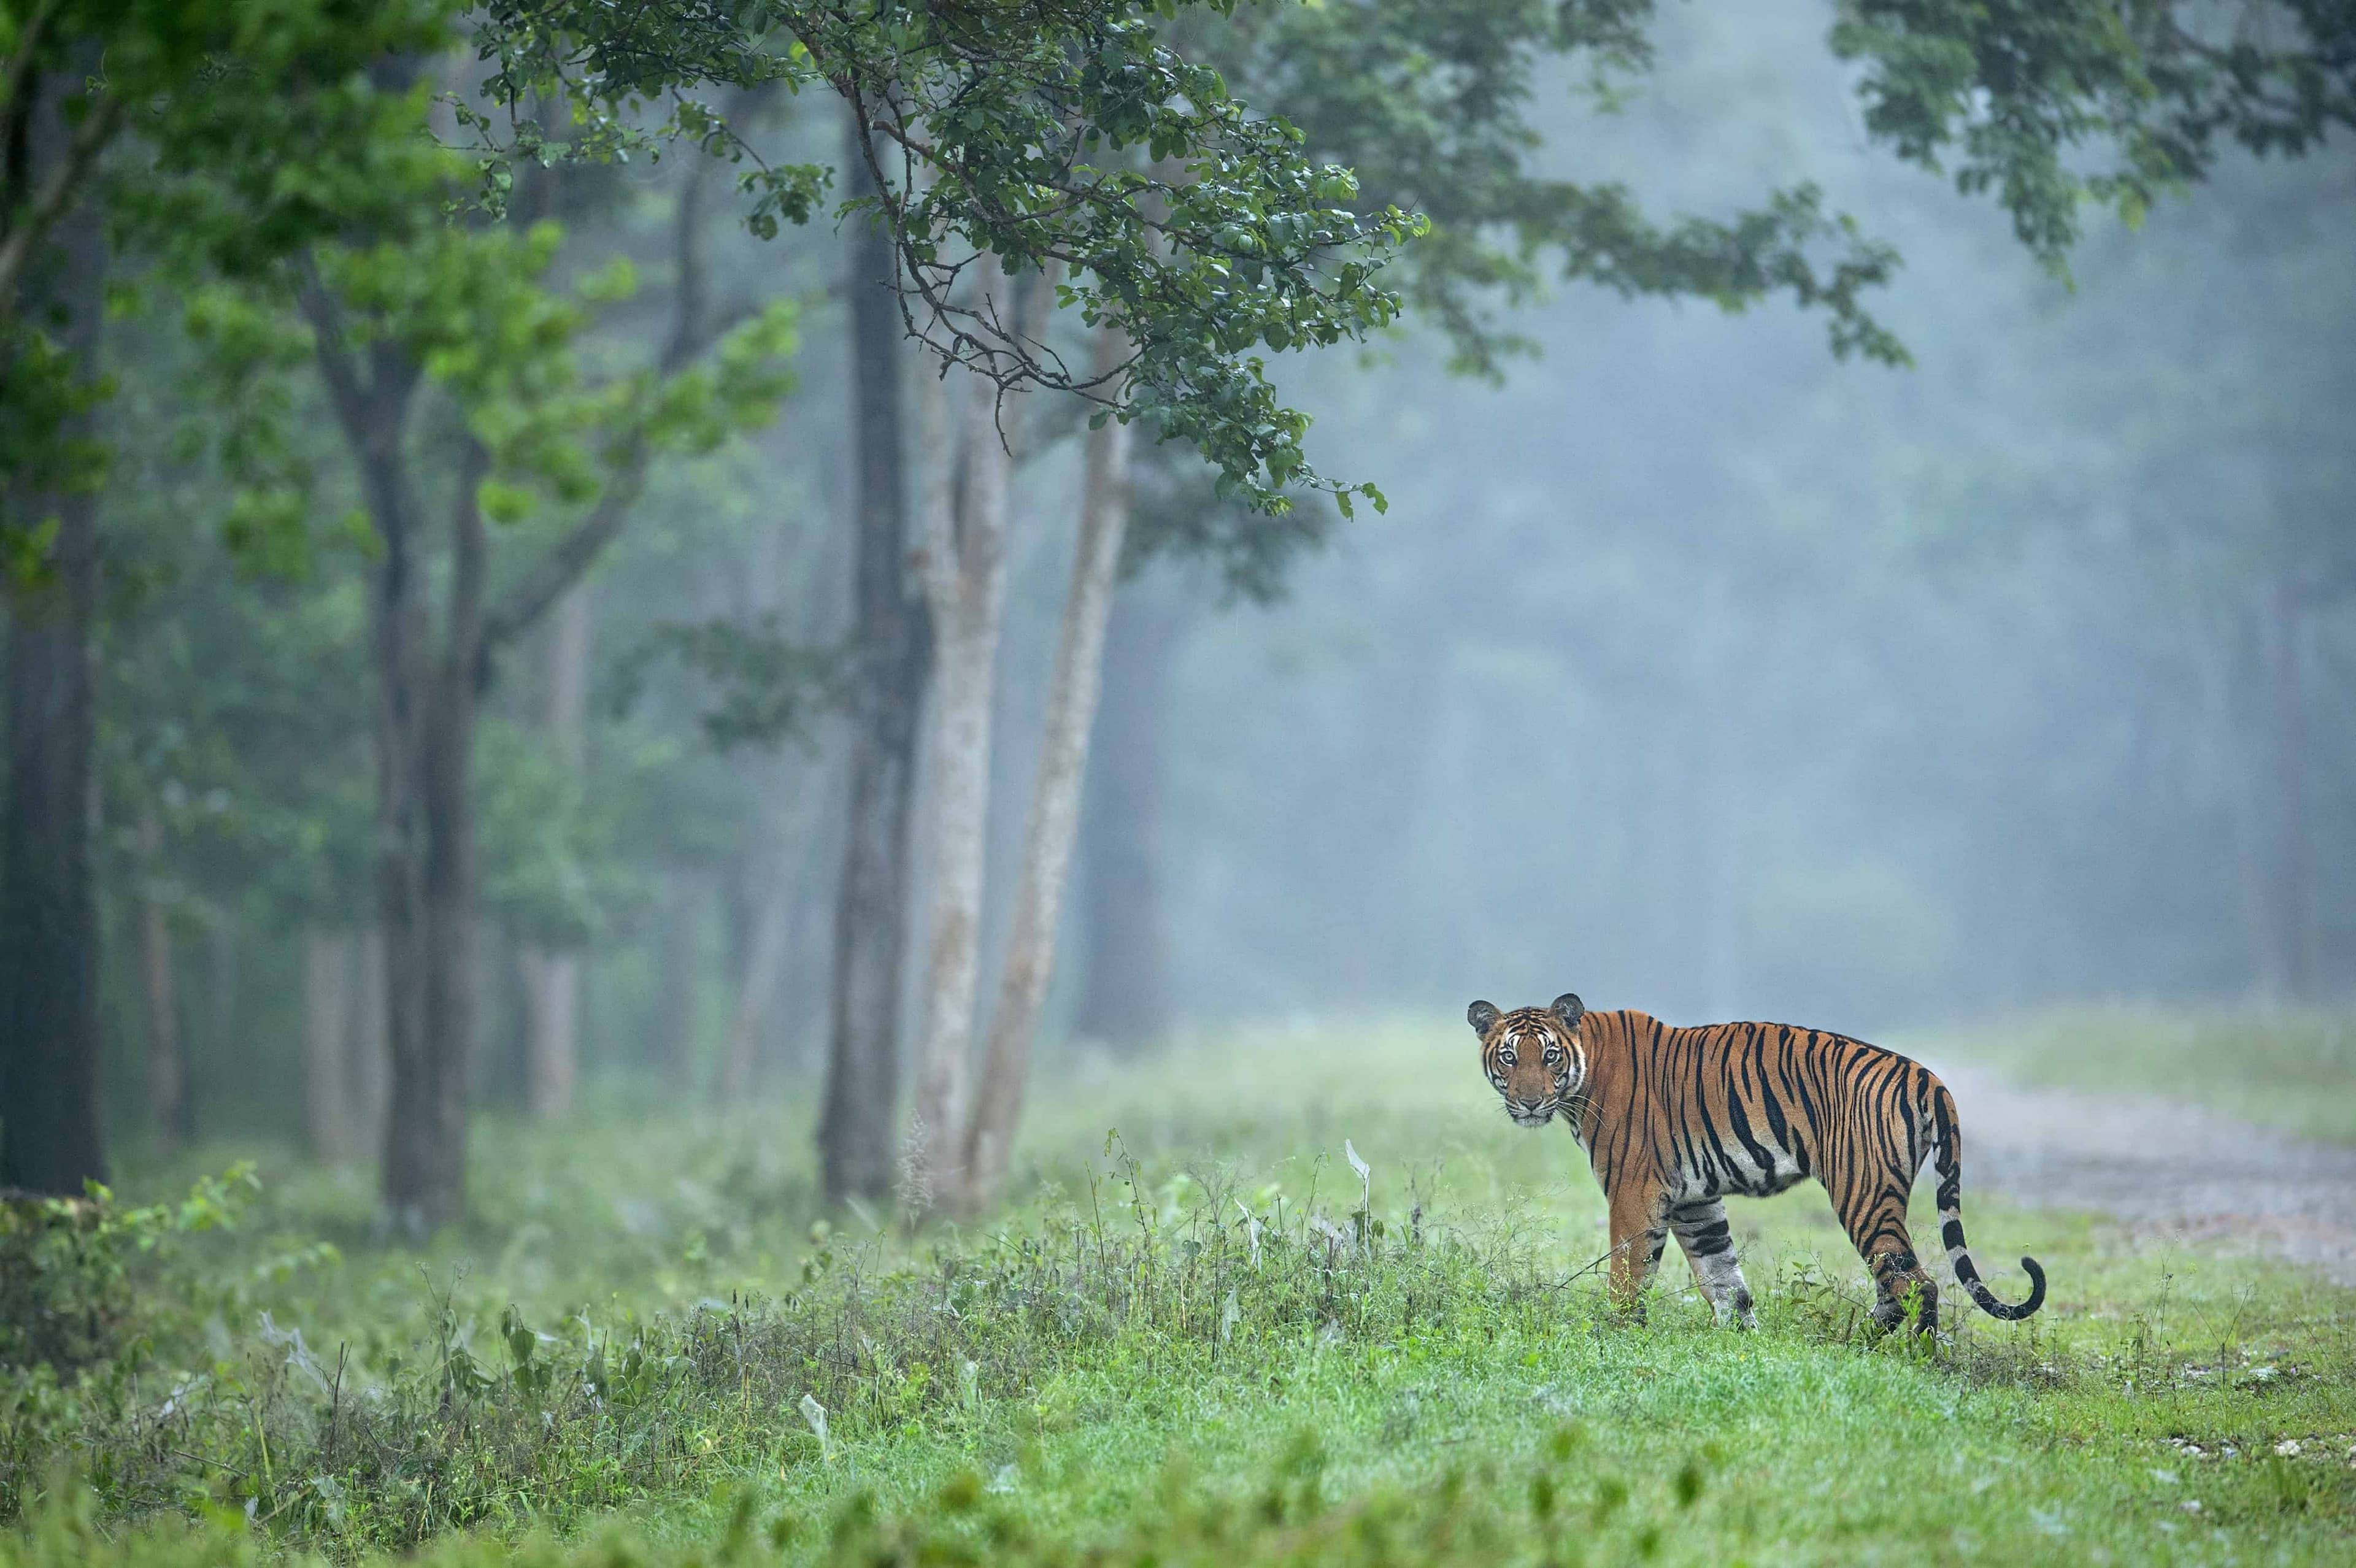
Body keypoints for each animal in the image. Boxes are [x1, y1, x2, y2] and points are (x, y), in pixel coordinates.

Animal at [1467, 993, 2045, 1331]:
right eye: (1509, 1057)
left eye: (1549, 1056)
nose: (1529, 1103)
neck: (1582, 1075)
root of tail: (1928, 1076)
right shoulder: (1695, 1201)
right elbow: (1724, 1278)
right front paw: (1740, 1341)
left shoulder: (1635, 1192)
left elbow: (1627, 1276)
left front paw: (1615, 1336)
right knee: (1894, 1286)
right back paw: (1859, 1348)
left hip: (1863, 1192)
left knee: (1915, 1284)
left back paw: (1907, 1359)